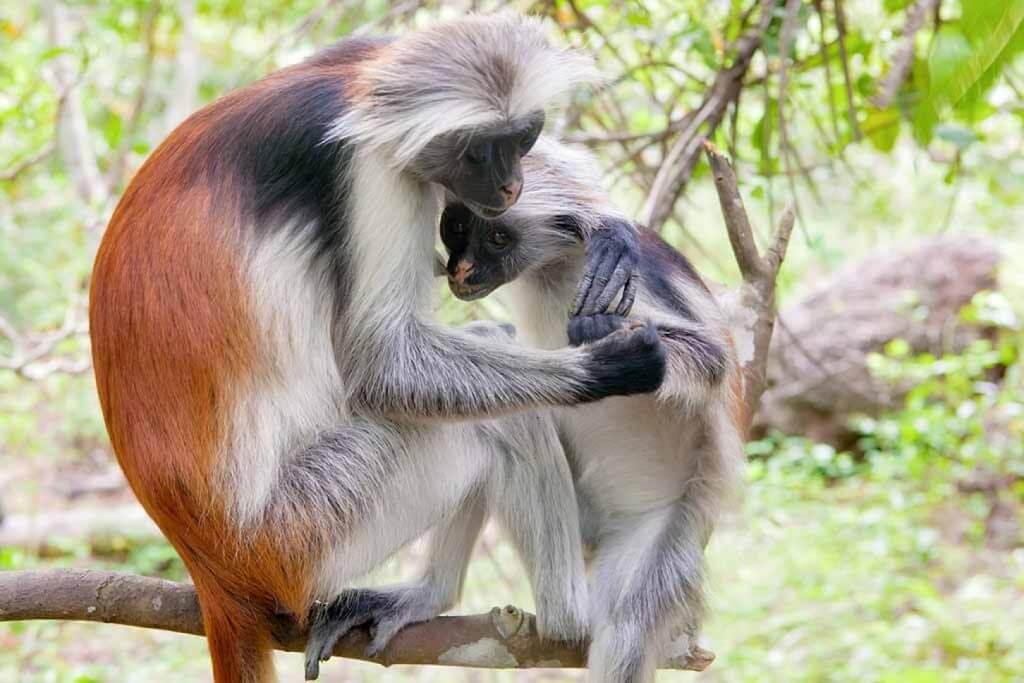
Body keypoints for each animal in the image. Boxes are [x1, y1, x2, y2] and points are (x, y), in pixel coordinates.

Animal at [88, 15, 667, 683]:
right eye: (479, 150)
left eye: (523, 139)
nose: (510, 185)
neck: (352, 96)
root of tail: (211, 568)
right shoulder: (369, 170)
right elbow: (381, 364)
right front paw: (607, 368)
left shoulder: (367, 65)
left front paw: (599, 218)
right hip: (306, 530)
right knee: (498, 421)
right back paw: (566, 621)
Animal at [439, 136, 746, 683]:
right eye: (456, 226)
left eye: (496, 237)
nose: (461, 269)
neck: (555, 265)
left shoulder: (632, 282)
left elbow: (712, 358)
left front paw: (607, 334)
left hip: (662, 528)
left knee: (626, 625)